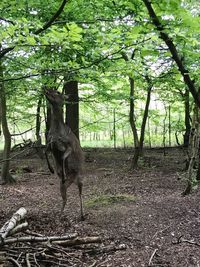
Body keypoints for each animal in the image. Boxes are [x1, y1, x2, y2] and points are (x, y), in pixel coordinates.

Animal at [44, 89, 84, 221]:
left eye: (57, 92)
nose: (45, 88)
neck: (56, 132)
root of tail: (73, 180)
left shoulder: (69, 145)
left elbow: (62, 157)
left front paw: (62, 172)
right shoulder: (50, 144)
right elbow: (44, 152)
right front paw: (52, 169)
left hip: (80, 177)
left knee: (80, 193)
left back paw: (82, 215)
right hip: (63, 186)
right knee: (65, 198)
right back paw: (60, 215)